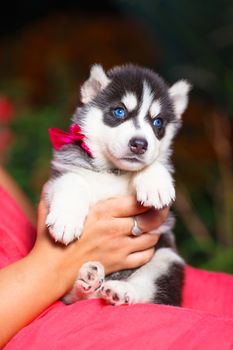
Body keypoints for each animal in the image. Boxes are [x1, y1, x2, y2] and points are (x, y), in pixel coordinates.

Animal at [44, 64, 190, 304]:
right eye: (119, 111)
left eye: (157, 122)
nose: (139, 144)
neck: (114, 172)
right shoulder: (59, 175)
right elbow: (73, 180)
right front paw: (66, 220)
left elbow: (155, 163)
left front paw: (155, 184)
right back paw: (88, 281)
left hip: (167, 257)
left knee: (149, 290)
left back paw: (121, 291)